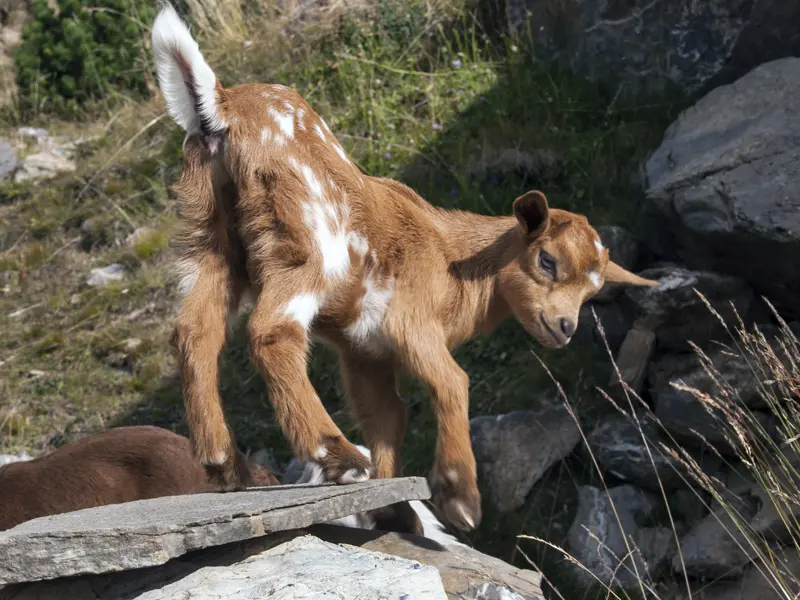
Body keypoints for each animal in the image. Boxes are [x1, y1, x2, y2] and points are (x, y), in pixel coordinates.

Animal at [150, 5, 659, 534]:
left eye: (593, 291)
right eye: (547, 260)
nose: (565, 327)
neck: (451, 257)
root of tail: (223, 107)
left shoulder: (364, 352)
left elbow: (388, 417)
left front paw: (395, 513)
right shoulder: (409, 319)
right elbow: (452, 380)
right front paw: (458, 496)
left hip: (210, 238)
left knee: (196, 329)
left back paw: (223, 464)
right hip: (309, 241)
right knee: (272, 331)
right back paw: (335, 453)